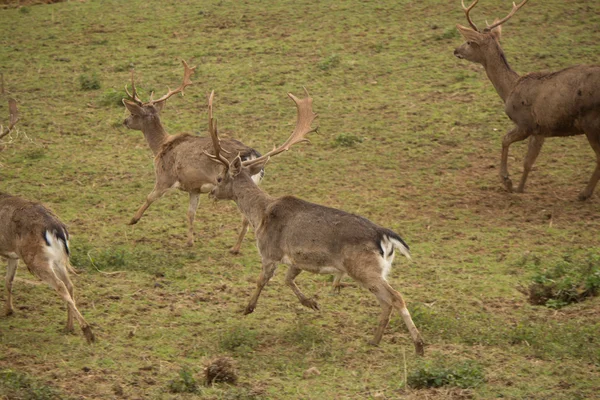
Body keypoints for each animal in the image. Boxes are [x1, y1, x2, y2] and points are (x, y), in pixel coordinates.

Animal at [0, 192, 95, 342]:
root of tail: (57, 230)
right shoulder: (13, 256)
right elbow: (9, 280)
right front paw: (8, 311)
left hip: (36, 260)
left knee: (60, 285)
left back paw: (88, 332)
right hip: (58, 261)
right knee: (69, 284)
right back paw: (69, 327)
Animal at [121, 59, 262, 252]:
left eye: (132, 113)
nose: (124, 121)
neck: (160, 146)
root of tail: (252, 155)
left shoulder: (165, 176)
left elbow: (150, 197)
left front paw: (132, 220)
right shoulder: (194, 188)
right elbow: (190, 213)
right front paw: (189, 241)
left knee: (246, 215)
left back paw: (236, 247)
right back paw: (237, 247)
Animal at [204, 90, 424, 354]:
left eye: (219, 178)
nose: (211, 193)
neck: (260, 215)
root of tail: (385, 236)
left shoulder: (269, 251)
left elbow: (261, 280)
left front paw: (248, 308)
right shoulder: (297, 258)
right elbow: (288, 279)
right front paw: (311, 303)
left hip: (364, 268)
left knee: (396, 297)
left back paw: (418, 344)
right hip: (378, 270)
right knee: (386, 301)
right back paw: (374, 340)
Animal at [454, 0, 600, 200]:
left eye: (469, 41)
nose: (456, 50)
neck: (509, 90)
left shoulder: (528, 124)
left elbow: (511, 146)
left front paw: (511, 184)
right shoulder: (543, 129)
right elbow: (526, 158)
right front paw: (514, 184)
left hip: (591, 122)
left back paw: (584, 193)